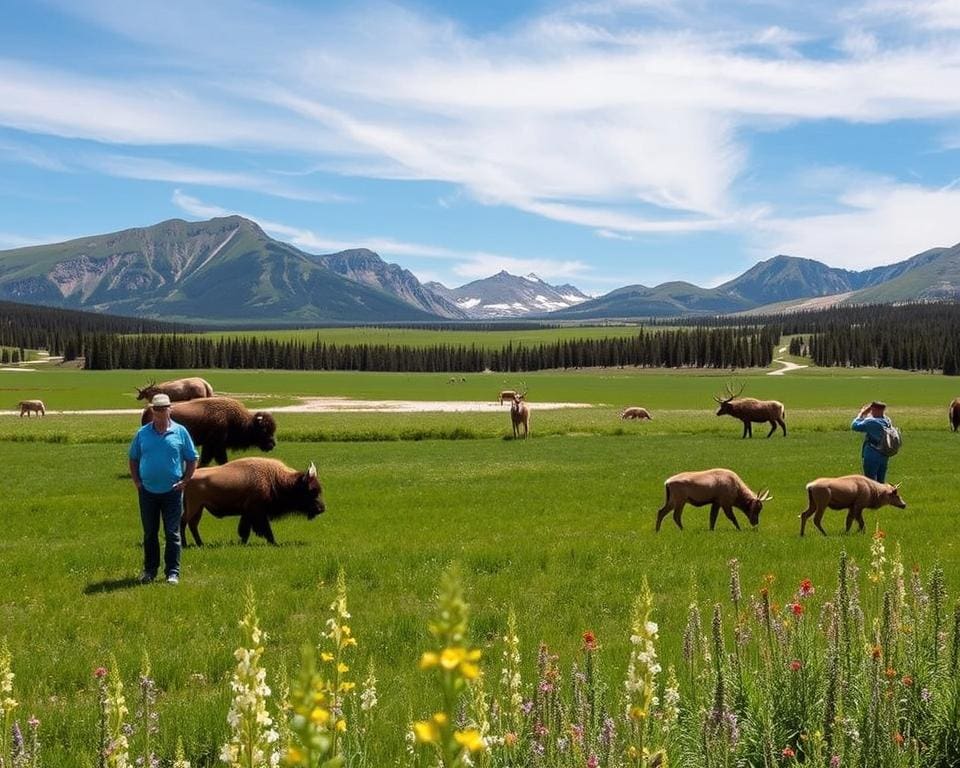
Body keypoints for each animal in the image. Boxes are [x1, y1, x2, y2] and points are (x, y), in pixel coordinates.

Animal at [142, 400, 278, 464]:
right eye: (264, 430)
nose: (272, 444)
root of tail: (148, 409)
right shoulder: (216, 446)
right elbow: (221, 460)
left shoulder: (209, 446)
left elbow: (205, 460)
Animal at [181, 456, 326, 544]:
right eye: (311, 491)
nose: (321, 508)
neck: (274, 478)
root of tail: (185, 479)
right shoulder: (257, 512)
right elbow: (264, 529)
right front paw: (274, 542)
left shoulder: (248, 514)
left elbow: (245, 530)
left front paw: (242, 542)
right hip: (194, 507)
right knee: (183, 522)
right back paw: (186, 544)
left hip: (199, 508)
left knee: (192, 525)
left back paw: (200, 544)